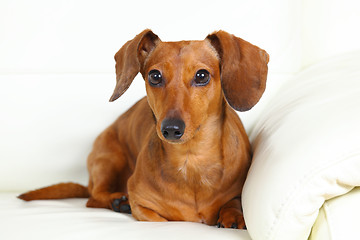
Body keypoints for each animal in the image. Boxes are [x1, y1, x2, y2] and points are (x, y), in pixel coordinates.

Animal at [19, 29, 268, 229]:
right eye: (155, 76)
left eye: (202, 75)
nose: (171, 129)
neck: (191, 161)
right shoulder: (143, 206)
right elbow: (156, 217)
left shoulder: (234, 192)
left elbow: (233, 203)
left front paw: (232, 216)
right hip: (109, 159)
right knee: (93, 198)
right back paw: (117, 201)